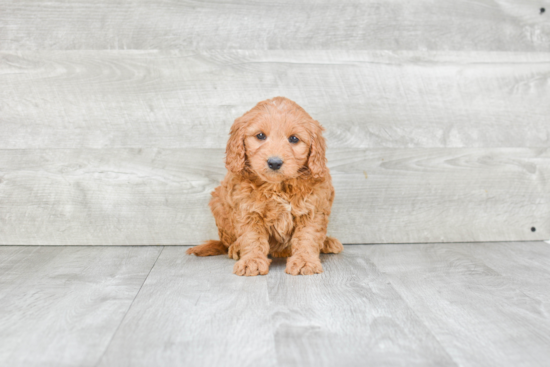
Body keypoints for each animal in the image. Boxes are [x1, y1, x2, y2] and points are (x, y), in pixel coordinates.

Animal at [190, 98, 344, 276]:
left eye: (294, 139)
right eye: (260, 136)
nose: (274, 162)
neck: (278, 187)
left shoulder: (313, 209)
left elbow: (307, 236)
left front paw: (304, 261)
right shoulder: (247, 210)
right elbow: (251, 238)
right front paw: (252, 261)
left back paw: (328, 242)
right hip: (218, 203)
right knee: (227, 242)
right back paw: (236, 248)